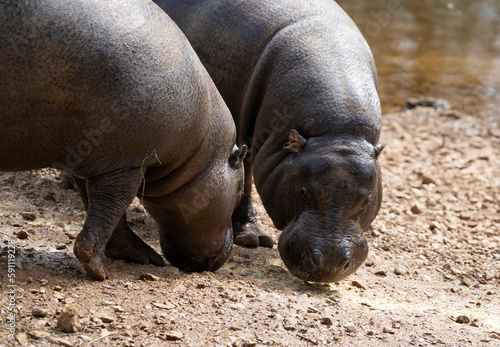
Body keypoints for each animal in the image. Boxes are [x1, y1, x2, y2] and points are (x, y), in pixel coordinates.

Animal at [0, 0, 246, 280]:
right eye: (240, 193)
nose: (227, 254)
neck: (201, 152)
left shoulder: (93, 162)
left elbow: (104, 212)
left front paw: (144, 258)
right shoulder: (127, 163)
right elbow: (111, 210)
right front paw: (99, 271)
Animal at [154, 0, 384, 282]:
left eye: (367, 200)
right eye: (304, 193)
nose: (328, 265)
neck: (336, 133)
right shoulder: (244, 138)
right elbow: (244, 182)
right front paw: (252, 239)